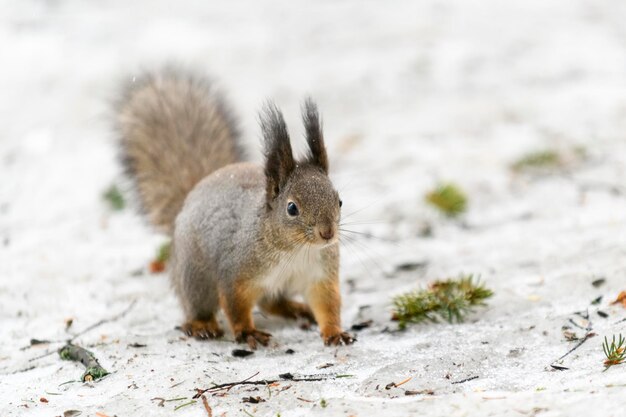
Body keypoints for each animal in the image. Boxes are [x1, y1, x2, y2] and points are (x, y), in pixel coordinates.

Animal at [115, 69, 354, 348]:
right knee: (198, 305)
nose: (327, 233)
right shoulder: (236, 271)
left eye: (339, 200)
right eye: (292, 208)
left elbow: (328, 304)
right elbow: (234, 304)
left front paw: (335, 332)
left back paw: (295, 308)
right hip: (195, 276)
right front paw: (247, 331)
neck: (296, 250)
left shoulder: (321, 275)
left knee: (272, 302)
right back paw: (202, 325)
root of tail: (189, 199)